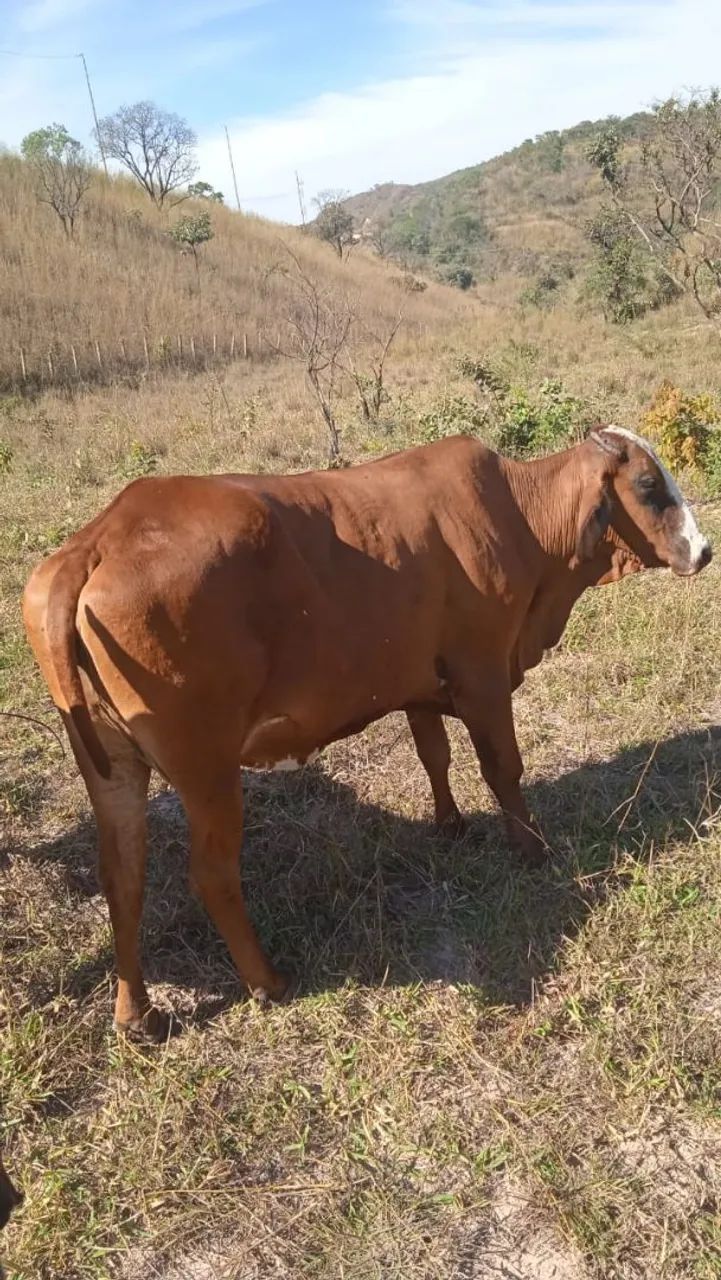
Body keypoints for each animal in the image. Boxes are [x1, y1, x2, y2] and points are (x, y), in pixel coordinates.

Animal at [22, 426, 711, 1038]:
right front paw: (532, 849)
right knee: (212, 875)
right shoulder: (483, 675)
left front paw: (450, 825)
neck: (523, 517)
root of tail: (100, 539)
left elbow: (435, 755)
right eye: (648, 485)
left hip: (112, 769)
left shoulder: (417, 685)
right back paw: (267, 982)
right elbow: (502, 769)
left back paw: (136, 1014)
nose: (703, 551)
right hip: (207, 771)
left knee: (123, 876)